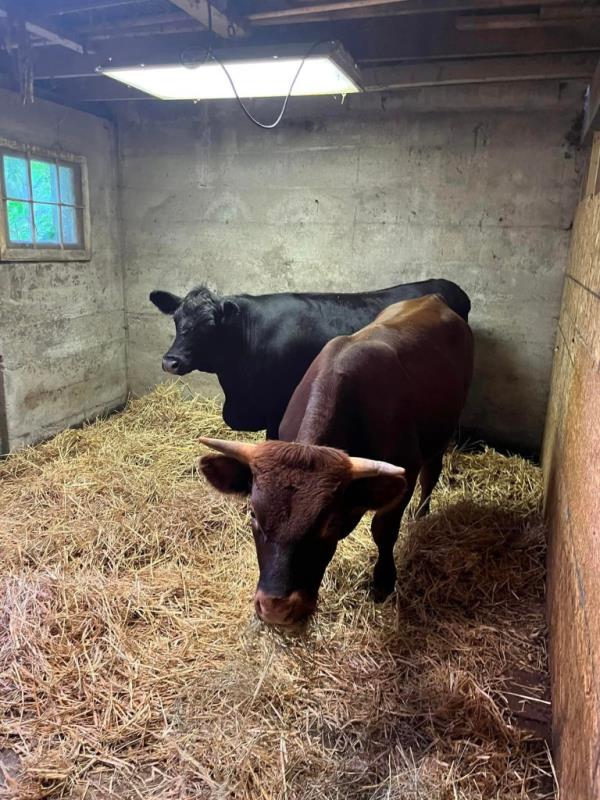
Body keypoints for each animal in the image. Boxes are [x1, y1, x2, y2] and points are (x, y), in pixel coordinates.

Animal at [198, 294, 474, 626]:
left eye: (329, 523)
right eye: (253, 514)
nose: (276, 608)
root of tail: (432, 298)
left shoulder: (404, 471)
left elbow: (384, 530)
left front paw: (383, 582)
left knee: (431, 473)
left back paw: (420, 514)